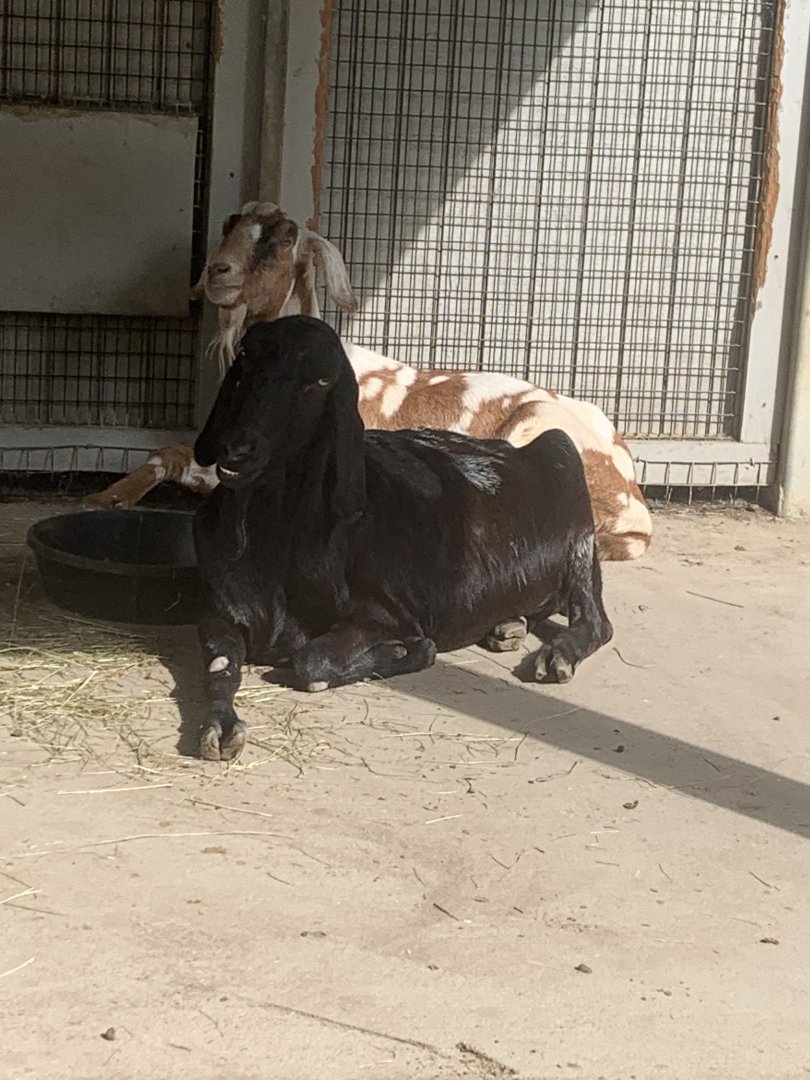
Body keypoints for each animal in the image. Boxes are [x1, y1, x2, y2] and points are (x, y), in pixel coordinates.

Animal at [193, 316, 613, 761]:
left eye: (322, 380)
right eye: (244, 357)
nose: (238, 449)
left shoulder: (389, 612)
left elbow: (312, 662)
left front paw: (407, 651)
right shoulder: (218, 612)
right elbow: (219, 666)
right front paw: (219, 726)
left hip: (566, 466)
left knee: (595, 619)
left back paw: (556, 654)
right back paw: (508, 626)